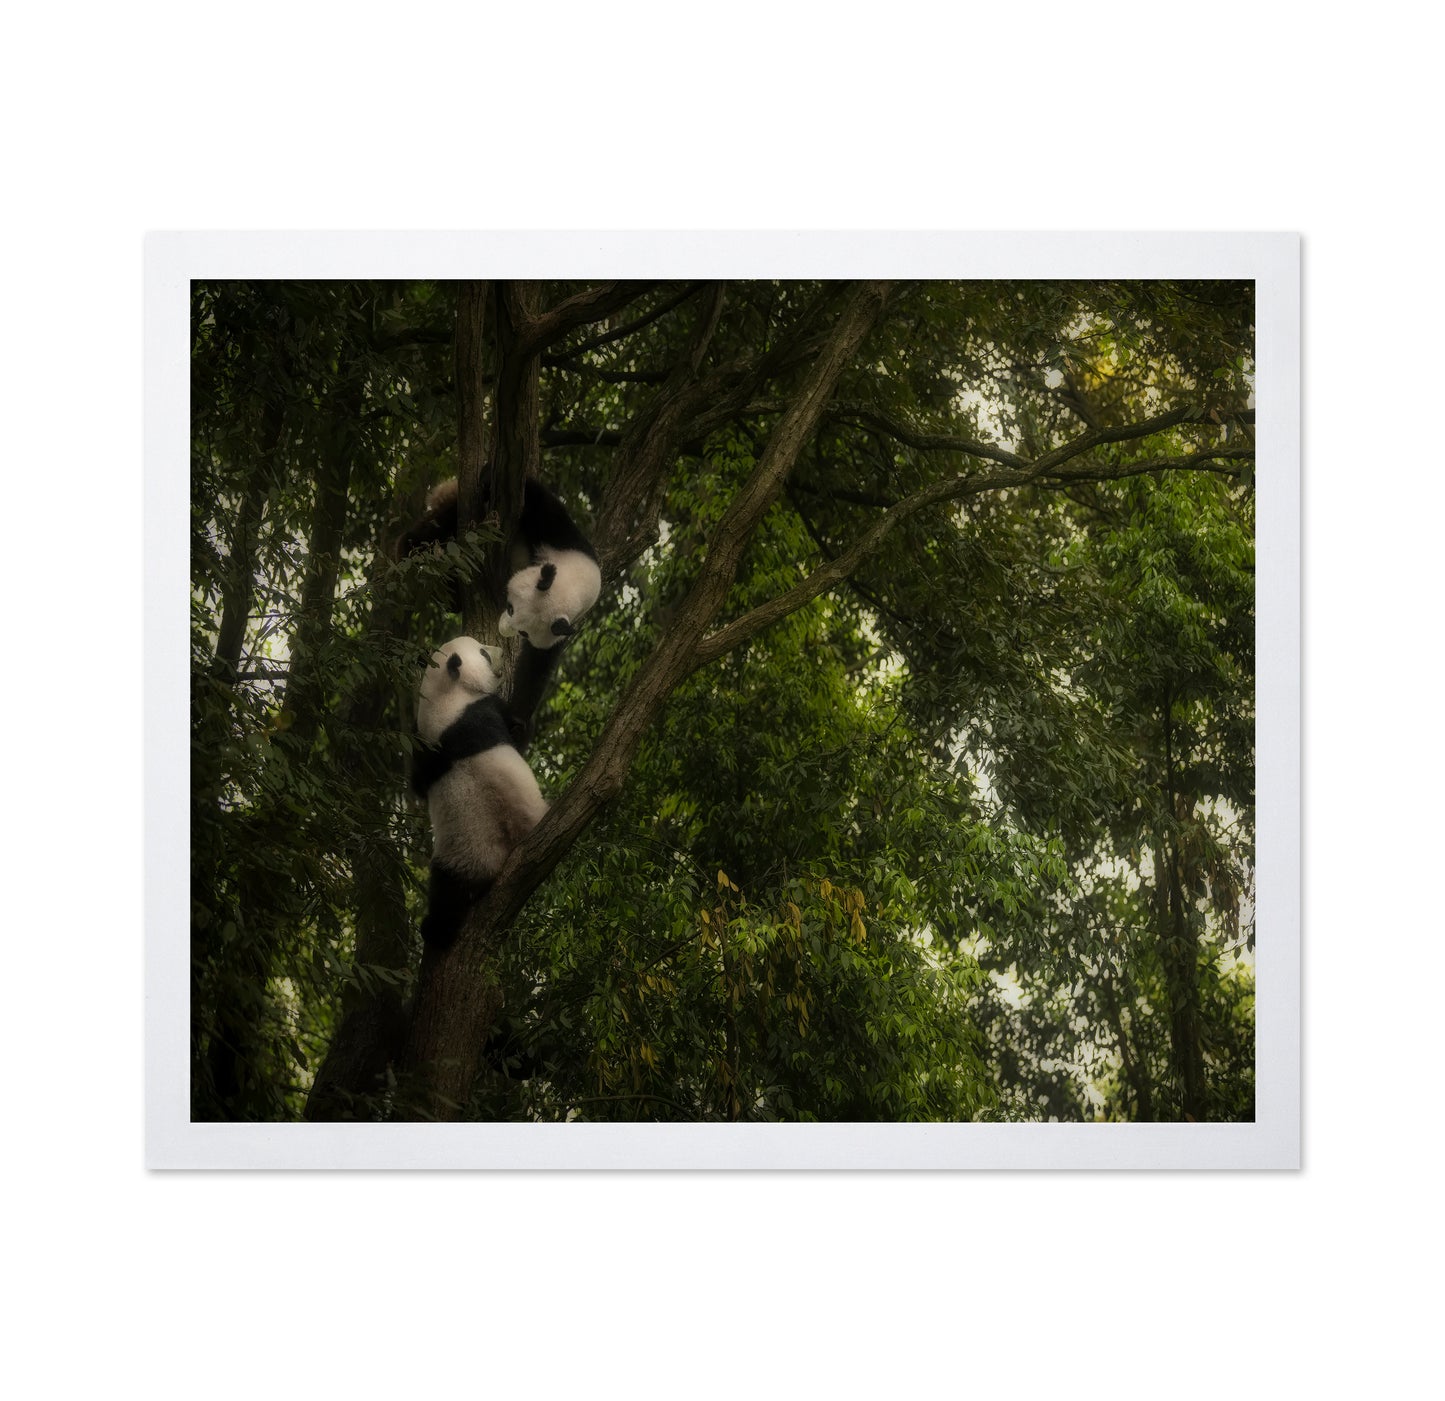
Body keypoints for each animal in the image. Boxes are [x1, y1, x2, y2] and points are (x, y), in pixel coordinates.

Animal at [411, 636, 549, 951]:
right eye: (485, 653)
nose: (503, 653)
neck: (445, 694)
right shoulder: (482, 711)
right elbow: (516, 733)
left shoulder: (424, 748)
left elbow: (418, 783)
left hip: (458, 855)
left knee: (446, 889)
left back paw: (435, 931)